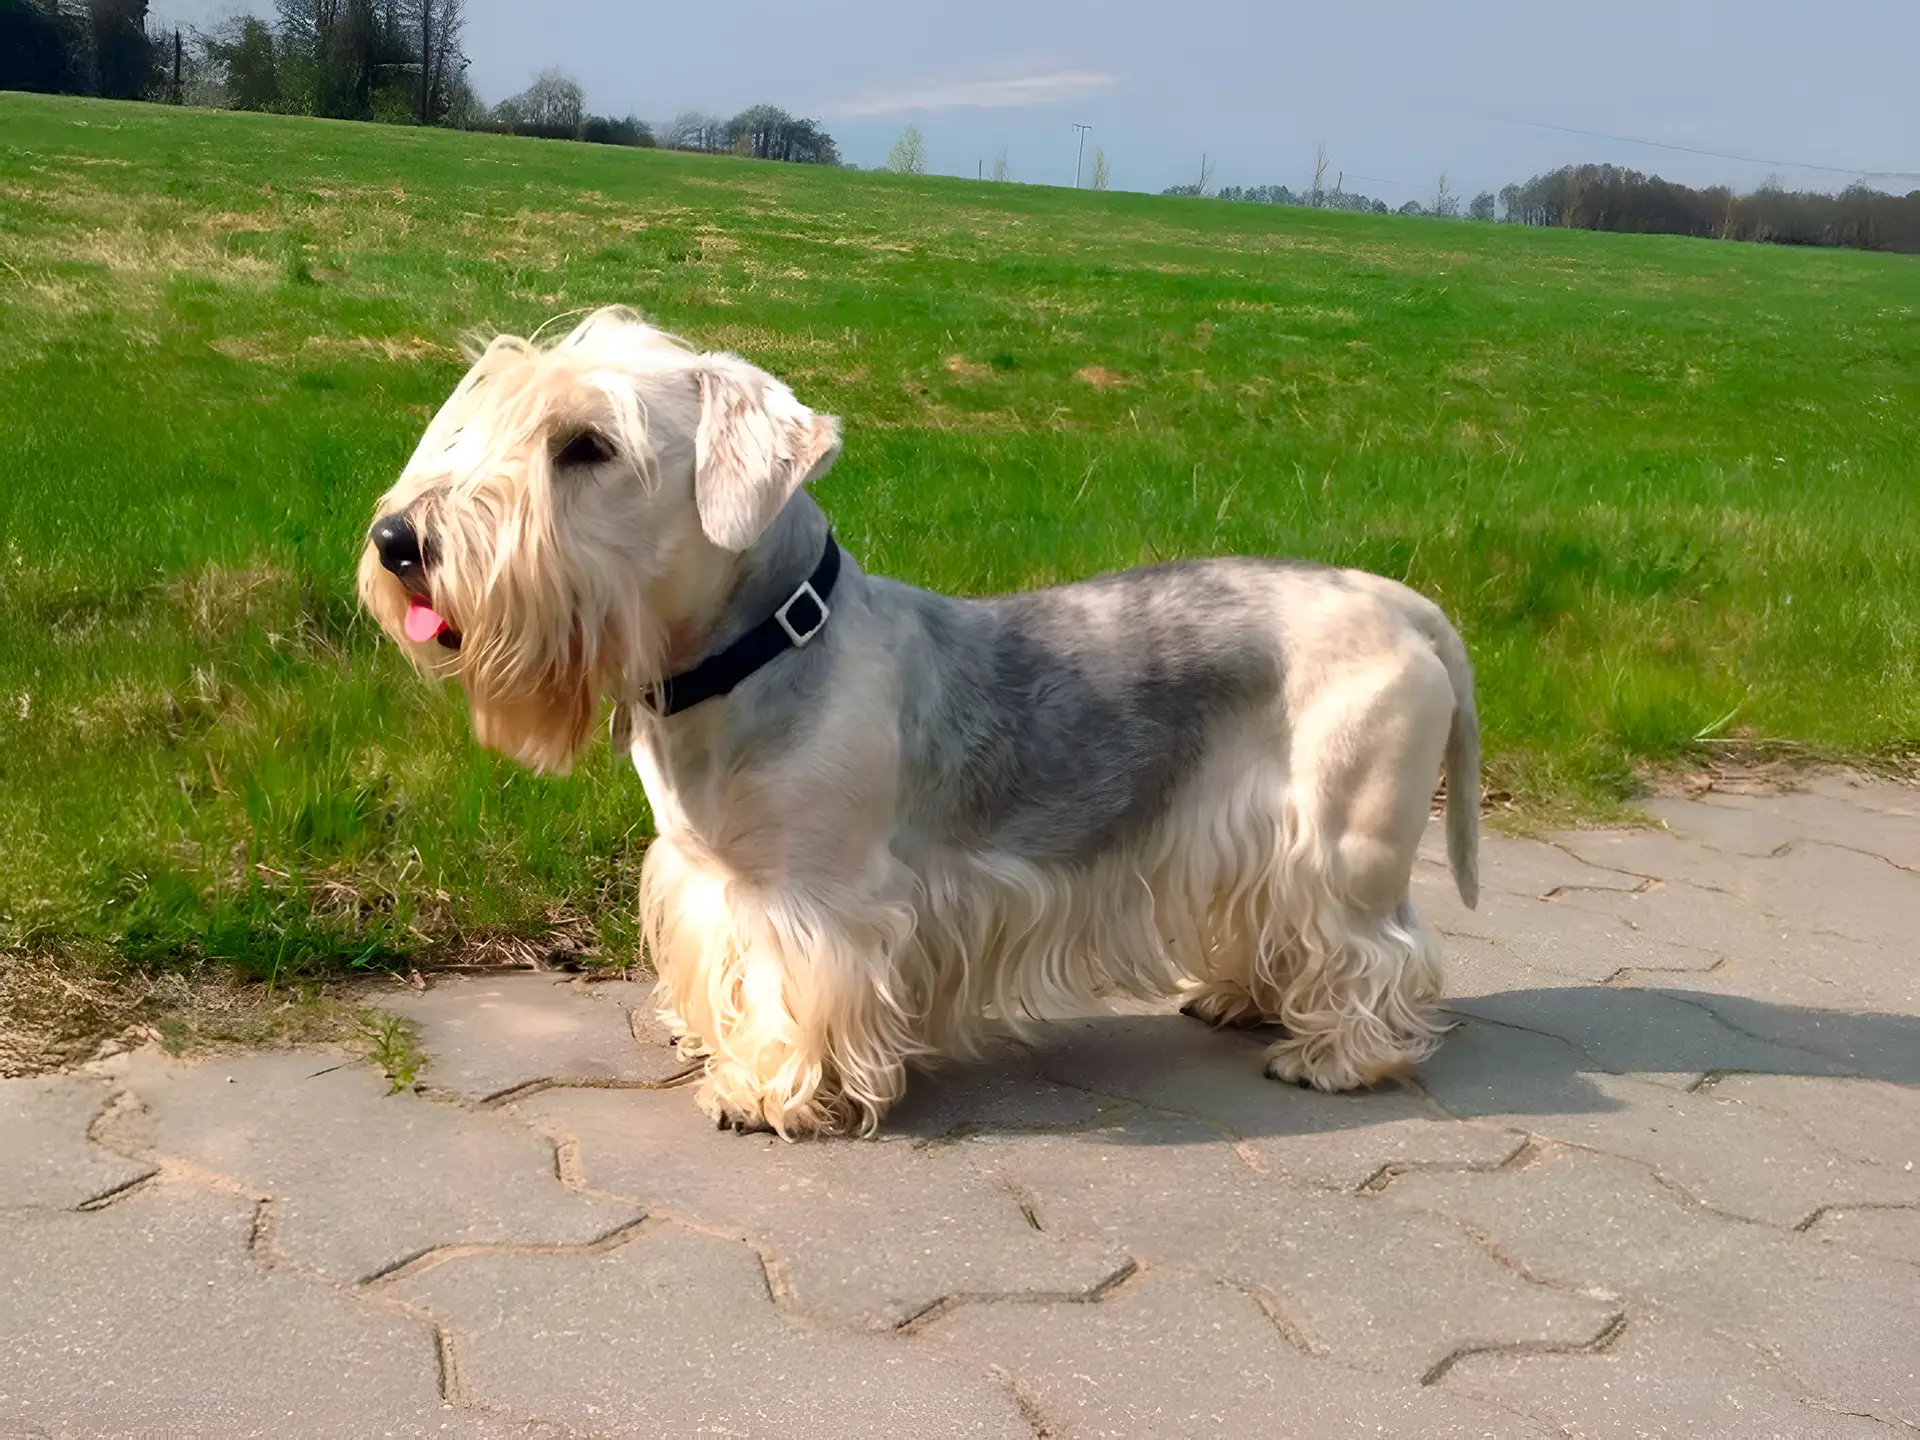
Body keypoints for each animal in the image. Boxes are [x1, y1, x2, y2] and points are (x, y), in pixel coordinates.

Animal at [360, 307, 1474, 1136]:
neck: (759, 652)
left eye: (586, 445)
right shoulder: (706, 876)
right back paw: (1241, 996)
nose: (397, 541)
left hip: (1344, 839)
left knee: (1387, 948)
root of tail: (1401, 604)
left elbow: (795, 994)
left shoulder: (820, 900)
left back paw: (1336, 1056)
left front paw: (768, 1091)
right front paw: (706, 1038)